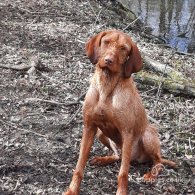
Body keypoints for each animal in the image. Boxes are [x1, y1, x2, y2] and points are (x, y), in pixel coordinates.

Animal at [63, 29, 175, 194]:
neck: (107, 85)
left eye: (123, 48)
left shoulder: (127, 132)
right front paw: (72, 190)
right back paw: (103, 159)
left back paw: (150, 175)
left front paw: (121, 191)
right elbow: (79, 165)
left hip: (147, 136)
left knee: (158, 162)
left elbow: (123, 173)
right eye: (106, 42)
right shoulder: (89, 127)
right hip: (101, 133)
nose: (108, 60)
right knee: (118, 156)